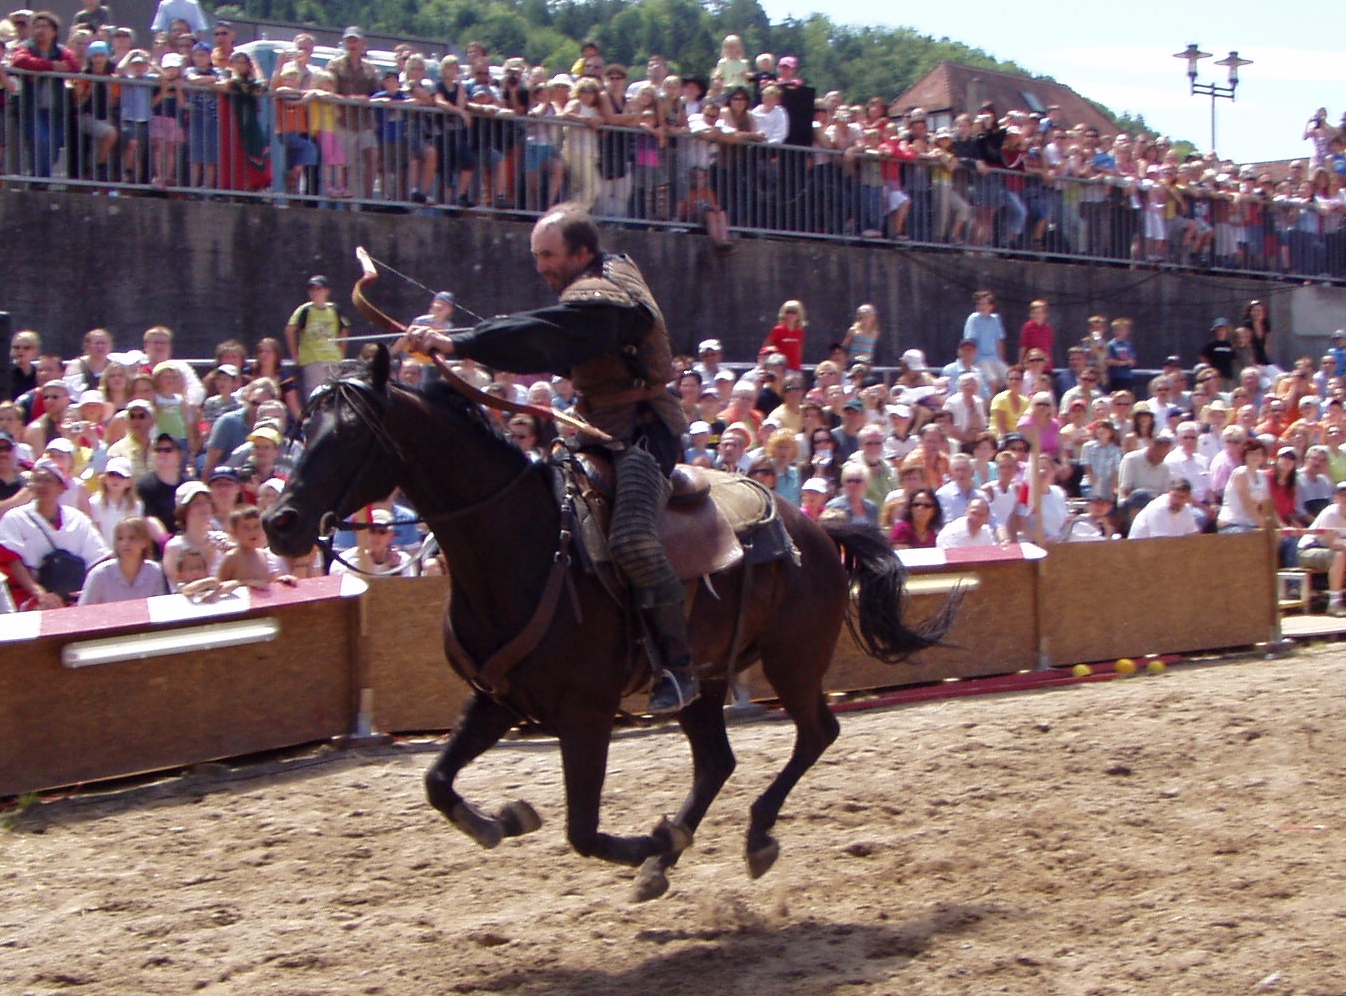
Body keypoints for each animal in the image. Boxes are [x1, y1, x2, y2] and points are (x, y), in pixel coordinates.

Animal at [262, 349, 952, 904]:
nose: (279, 523)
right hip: (701, 681)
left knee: (815, 733)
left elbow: (583, 830)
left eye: (353, 433)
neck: (526, 546)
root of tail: (818, 529)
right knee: (717, 761)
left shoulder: (585, 714)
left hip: (794, 661)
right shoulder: (495, 698)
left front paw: (648, 840)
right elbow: (437, 781)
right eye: (305, 427)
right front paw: (502, 821)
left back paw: (749, 835)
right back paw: (668, 857)